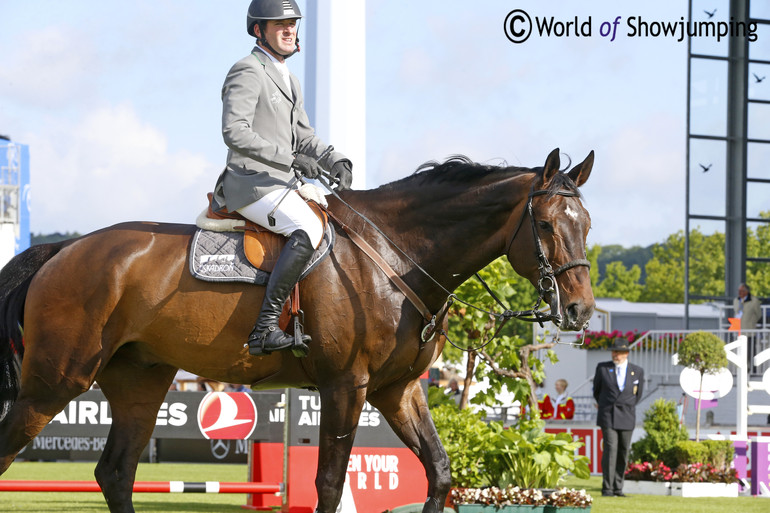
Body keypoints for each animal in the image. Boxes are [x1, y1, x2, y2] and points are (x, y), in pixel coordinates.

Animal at [0, 147, 592, 508]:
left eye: (585, 225)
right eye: (544, 225)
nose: (582, 310)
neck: (392, 257)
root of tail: (65, 249)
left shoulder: (398, 391)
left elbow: (441, 471)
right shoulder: (346, 386)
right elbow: (328, 483)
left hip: (140, 382)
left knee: (117, 473)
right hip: (56, 382)